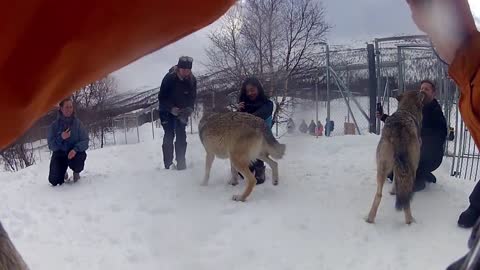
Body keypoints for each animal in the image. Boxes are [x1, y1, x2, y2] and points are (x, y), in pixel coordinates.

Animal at [368, 89, 424, 225]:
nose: (422, 91)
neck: (406, 110)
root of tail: (400, 128)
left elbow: (394, 179)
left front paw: (393, 191)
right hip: (412, 168)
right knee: (406, 195)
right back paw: (409, 221)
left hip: (381, 167)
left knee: (378, 195)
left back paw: (370, 219)